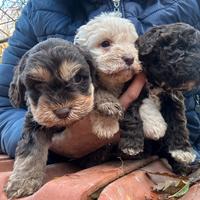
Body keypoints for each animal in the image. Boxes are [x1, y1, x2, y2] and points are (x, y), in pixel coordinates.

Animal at [4, 38, 95, 198]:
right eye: (38, 85)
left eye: (77, 78)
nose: (63, 112)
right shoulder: (34, 124)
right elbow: (30, 150)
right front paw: (23, 181)